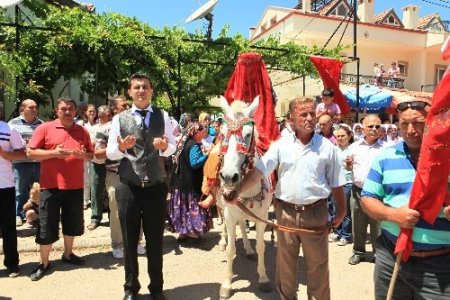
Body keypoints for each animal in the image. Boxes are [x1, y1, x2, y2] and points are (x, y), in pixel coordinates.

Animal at [217, 96, 270, 300]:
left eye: (248, 134)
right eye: (222, 133)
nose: (228, 176)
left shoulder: (262, 217)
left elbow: (261, 246)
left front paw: (263, 278)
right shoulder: (230, 214)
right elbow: (231, 249)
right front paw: (226, 284)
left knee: (242, 225)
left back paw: (248, 249)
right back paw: (222, 242)